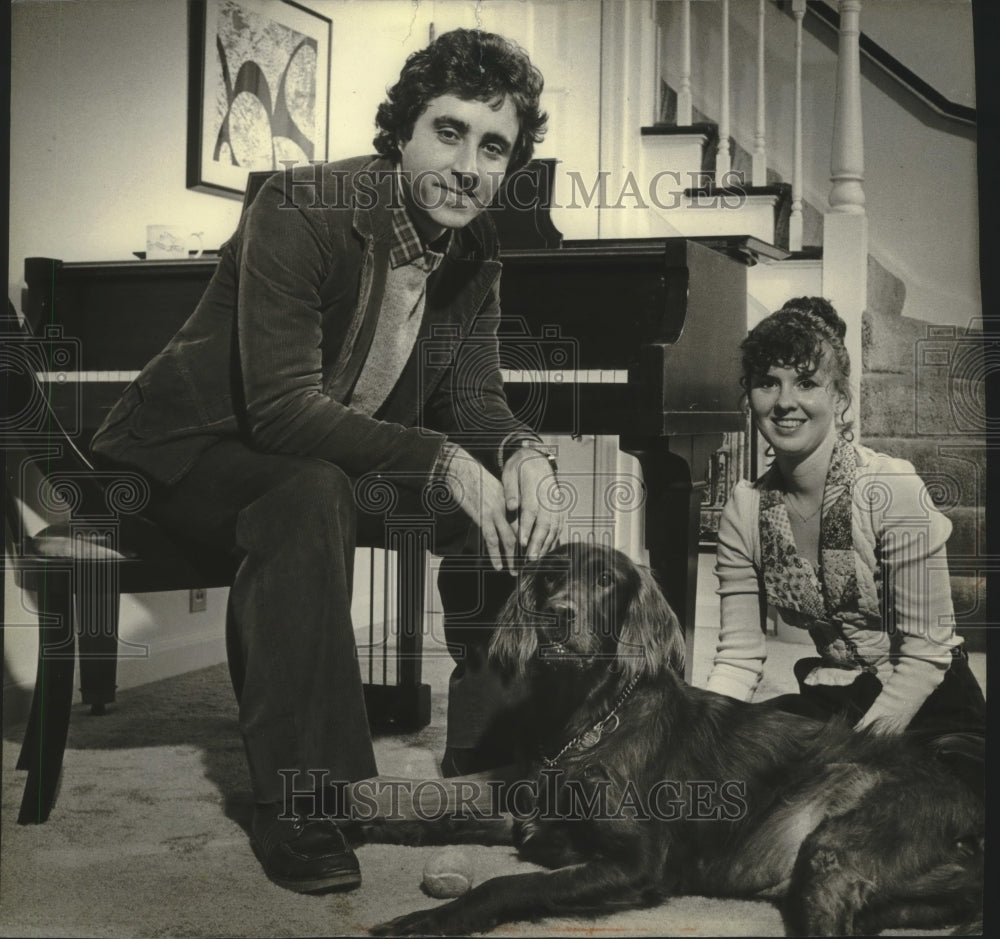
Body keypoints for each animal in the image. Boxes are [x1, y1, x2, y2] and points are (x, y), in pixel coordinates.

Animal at [356, 540, 980, 936]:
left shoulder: (639, 863)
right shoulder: (533, 815)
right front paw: (369, 824)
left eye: (605, 581)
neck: (586, 723)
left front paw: (429, 920)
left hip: (832, 850)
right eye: (552, 575)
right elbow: (446, 816)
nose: (558, 614)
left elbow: (505, 885)